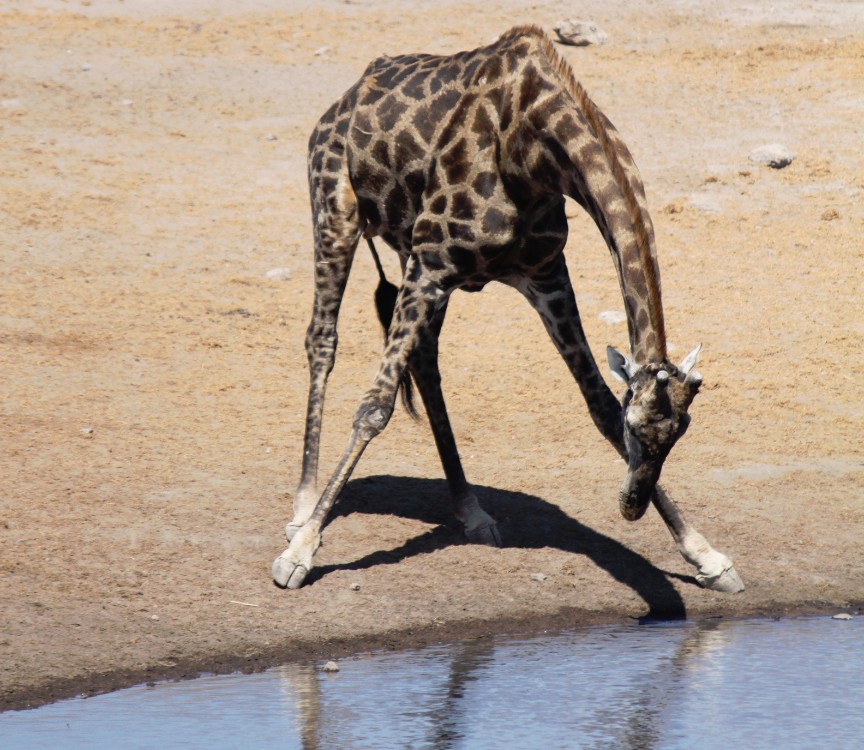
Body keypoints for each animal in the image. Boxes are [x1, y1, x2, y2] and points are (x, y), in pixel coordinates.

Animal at [272, 26, 744, 596]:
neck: (532, 148)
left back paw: (471, 511)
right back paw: (302, 509)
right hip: (336, 212)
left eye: (680, 433)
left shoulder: (544, 274)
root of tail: (339, 104)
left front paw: (707, 555)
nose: (630, 505)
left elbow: (597, 402)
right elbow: (373, 409)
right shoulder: (433, 263)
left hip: (410, 253)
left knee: (423, 358)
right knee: (323, 340)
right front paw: (299, 553)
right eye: (637, 429)